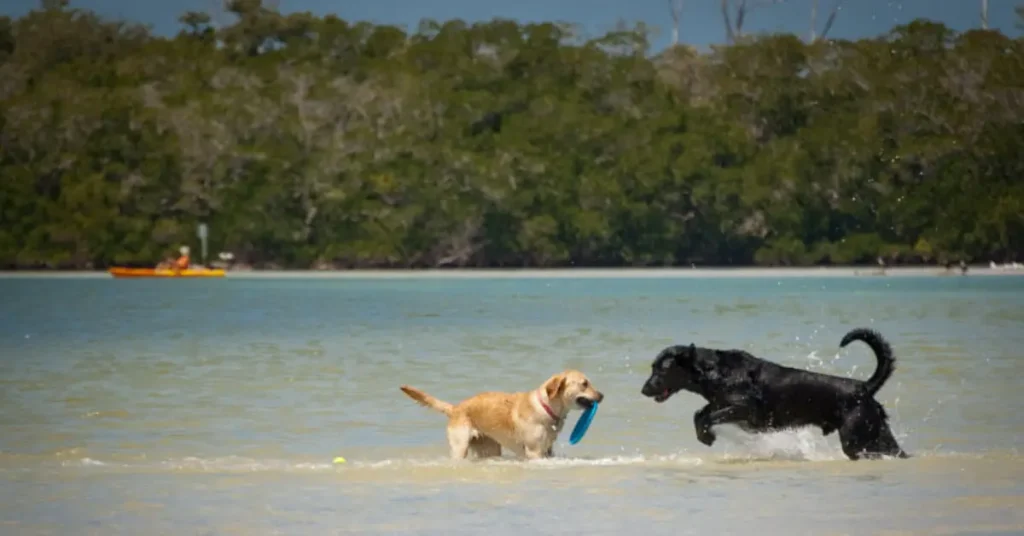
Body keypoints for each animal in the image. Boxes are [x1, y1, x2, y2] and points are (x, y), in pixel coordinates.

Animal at [399, 368, 602, 461]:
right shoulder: (534, 452)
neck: (546, 407)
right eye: (585, 384)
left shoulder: (547, 450)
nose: (602, 395)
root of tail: (456, 408)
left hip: (489, 448)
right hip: (460, 447)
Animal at [638, 327, 913, 461]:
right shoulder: (719, 404)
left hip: (858, 438)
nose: (644, 389)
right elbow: (700, 414)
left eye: (661, 369)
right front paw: (704, 436)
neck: (715, 371)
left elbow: (709, 416)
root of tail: (863, 387)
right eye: (652, 367)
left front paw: (707, 435)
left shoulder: (745, 409)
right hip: (875, 433)